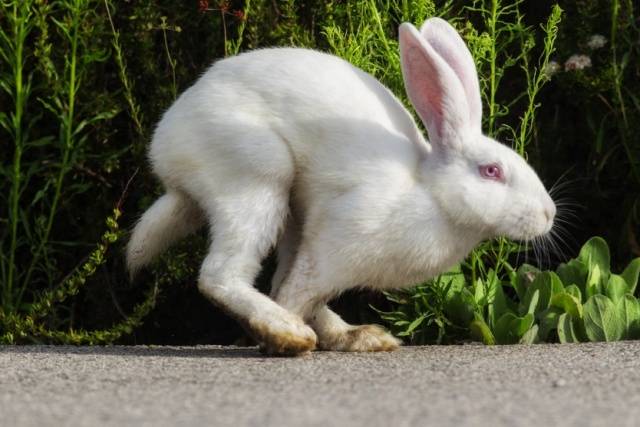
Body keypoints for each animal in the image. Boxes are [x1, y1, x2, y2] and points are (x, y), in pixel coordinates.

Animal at [126, 18, 556, 356]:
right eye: (491, 171)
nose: (549, 214)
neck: (430, 193)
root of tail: (166, 151)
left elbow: (301, 289)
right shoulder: (335, 241)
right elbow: (298, 290)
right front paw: (277, 340)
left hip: (290, 210)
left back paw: (358, 336)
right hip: (254, 180)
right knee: (222, 276)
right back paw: (290, 334)